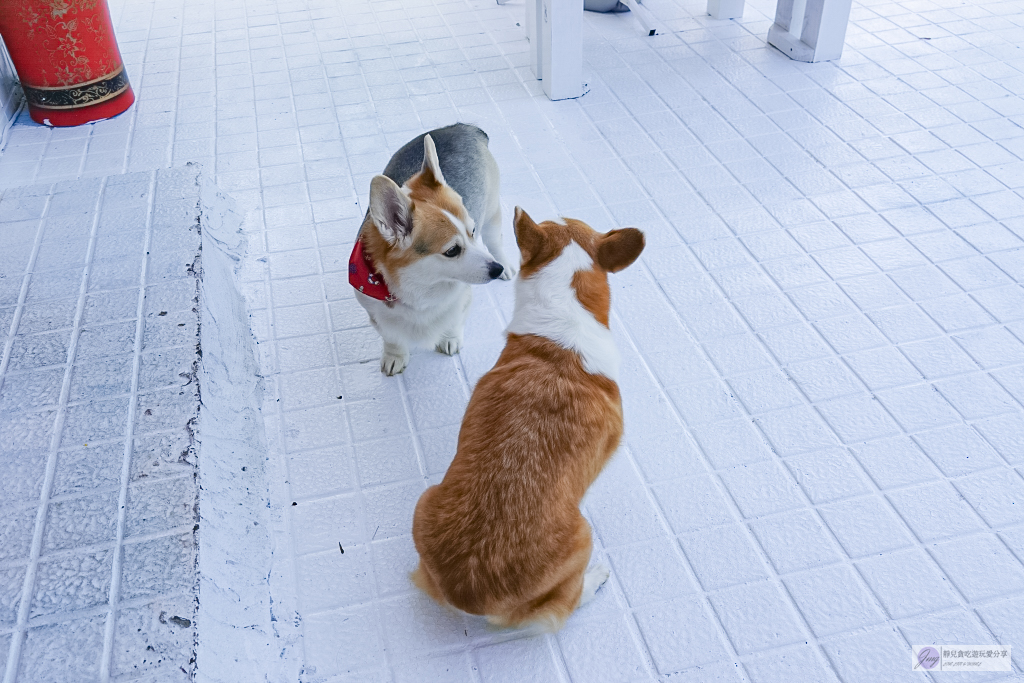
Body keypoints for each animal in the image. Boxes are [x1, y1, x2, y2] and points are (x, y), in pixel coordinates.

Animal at [352, 125, 516, 376]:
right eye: (452, 251)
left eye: (472, 231)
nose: (495, 270)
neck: (419, 287)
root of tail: (464, 127)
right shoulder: (377, 313)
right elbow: (392, 338)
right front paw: (395, 357)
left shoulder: (460, 299)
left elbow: (453, 321)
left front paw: (449, 339)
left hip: (491, 215)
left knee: (495, 240)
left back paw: (505, 264)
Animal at [411, 206, 643, 630]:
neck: (562, 324)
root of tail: (474, 595)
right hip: (584, 539)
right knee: (567, 604)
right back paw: (596, 579)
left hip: (425, 501)